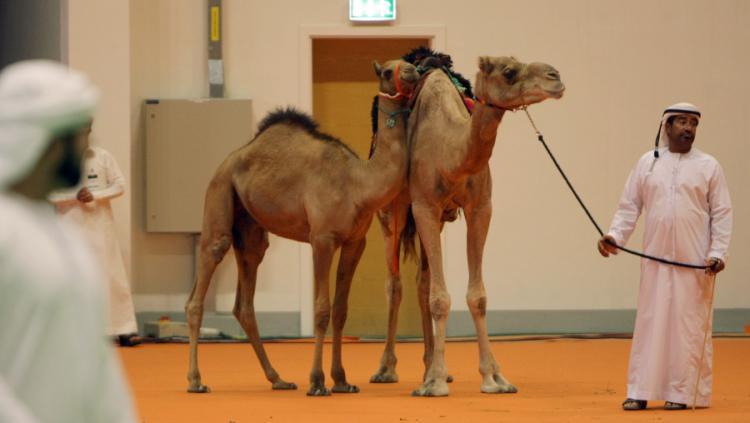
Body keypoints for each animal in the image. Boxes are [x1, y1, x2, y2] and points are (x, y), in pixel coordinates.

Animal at [184, 59, 419, 396]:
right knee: (201, 284)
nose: (413, 72)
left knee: (245, 301)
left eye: (408, 63)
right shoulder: (322, 238)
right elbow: (321, 309)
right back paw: (196, 380)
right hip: (219, 195)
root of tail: (230, 160)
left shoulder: (354, 242)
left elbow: (340, 310)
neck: (359, 184)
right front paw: (318, 382)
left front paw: (342, 380)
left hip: (251, 232)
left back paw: (278, 378)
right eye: (388, 71)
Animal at [369, 51, 565, 396]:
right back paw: (387, 369)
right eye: (509, 71)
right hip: (392, 213)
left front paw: (494, 377)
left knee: (422, 282)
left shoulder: (480, 208)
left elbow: (477, 296)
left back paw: (430, 365)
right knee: (395, 284)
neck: (451, 152)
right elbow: (439, 298)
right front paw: (434, 383)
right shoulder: (424, 206)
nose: (555, 77)